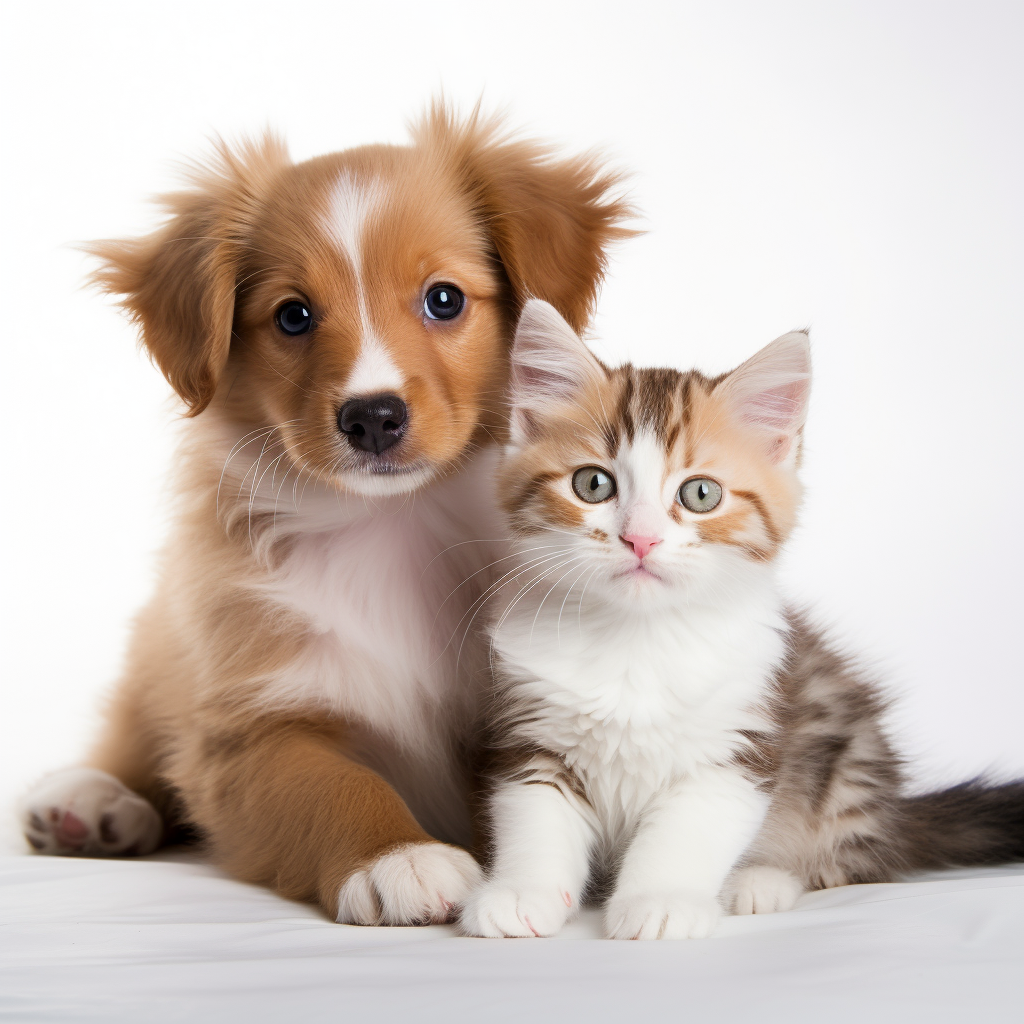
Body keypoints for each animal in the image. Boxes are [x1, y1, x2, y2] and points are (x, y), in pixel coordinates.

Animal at [18, 108, 630, 925]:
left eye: (444, 299)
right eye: (293, 316)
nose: (372, 417)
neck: (395, 527)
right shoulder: (250, 727)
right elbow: (330, 783)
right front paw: (397, 857)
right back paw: (87, 799)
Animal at [460, 299, 1024, 937]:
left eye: (700, 494)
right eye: (592, 483)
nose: (640, 539)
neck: (637, 639)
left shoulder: (740, 741)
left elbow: (686, 832)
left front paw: (661, 901)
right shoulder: (532, 735)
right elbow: (534, 818)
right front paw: (518, 893)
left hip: (847, 769)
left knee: (845, 865)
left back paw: (760, 882)